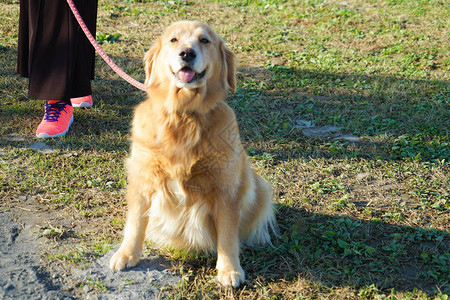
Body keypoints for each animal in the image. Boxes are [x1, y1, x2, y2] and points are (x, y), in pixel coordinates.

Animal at [110, 21, 276, 288]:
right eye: (173, 40)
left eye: (205, 40)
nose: (187, 53)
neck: (184, 115)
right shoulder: (143, 179)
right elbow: (135, 224)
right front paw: (127, 254)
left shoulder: (226, 189)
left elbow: (227, 236)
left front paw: (229, 269)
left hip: (259, 183)